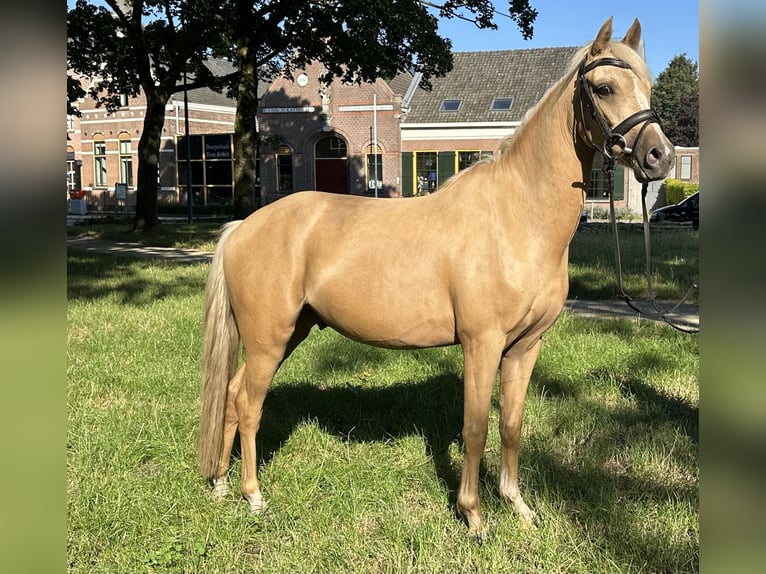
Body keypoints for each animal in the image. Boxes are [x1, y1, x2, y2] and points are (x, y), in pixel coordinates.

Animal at [200, 18, 680, 540]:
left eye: (648, 86)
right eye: (604, 87)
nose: (660, 156)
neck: (515, 218)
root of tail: (243, 227)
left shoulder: (524, 347)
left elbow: (511, 425)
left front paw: (518, 507)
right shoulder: (482, 343)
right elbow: (475, 429)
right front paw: (474, 517)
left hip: (287, 334)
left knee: (231, 396)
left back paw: (221, 485)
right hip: (269, 339)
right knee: (248, 404)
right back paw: (252, 496)